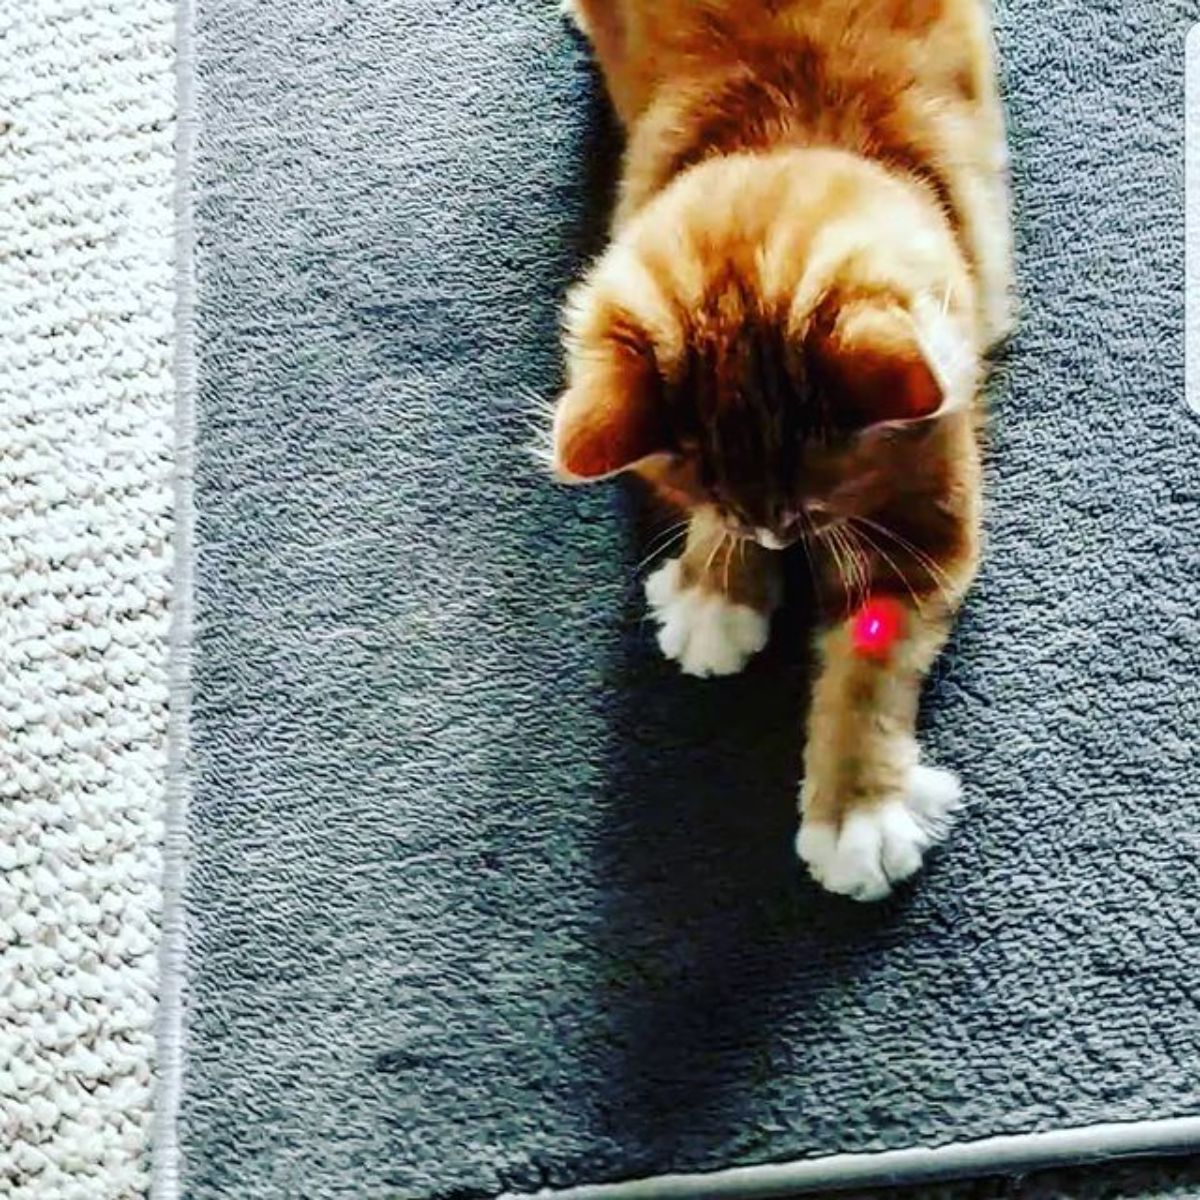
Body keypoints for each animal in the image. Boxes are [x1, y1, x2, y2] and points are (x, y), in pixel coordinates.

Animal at [549, 0, 1012, 902]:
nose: (775, 534)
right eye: (714, 492)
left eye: (816, 498)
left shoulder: (922, 518)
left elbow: (866, 672)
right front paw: (714, 591)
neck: (795, 129)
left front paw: (858, 815)